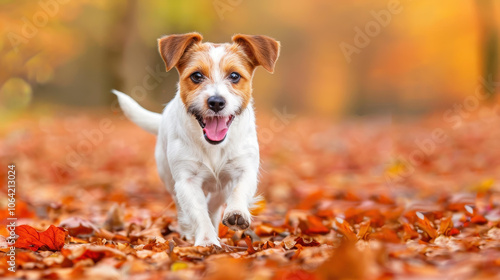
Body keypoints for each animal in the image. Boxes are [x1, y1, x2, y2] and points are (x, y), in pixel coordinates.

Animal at [111, 32, 280, 246]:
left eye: (234, 76)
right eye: (197, 76)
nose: (216, 102)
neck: (213, 146)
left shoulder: (245, 169)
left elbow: (238, 191)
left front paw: (236, 212)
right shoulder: (186, 180)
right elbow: (198, 212)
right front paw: (207, 240)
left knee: (215, 203)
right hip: (169, 179)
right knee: (184, 209)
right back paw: (188, 231)